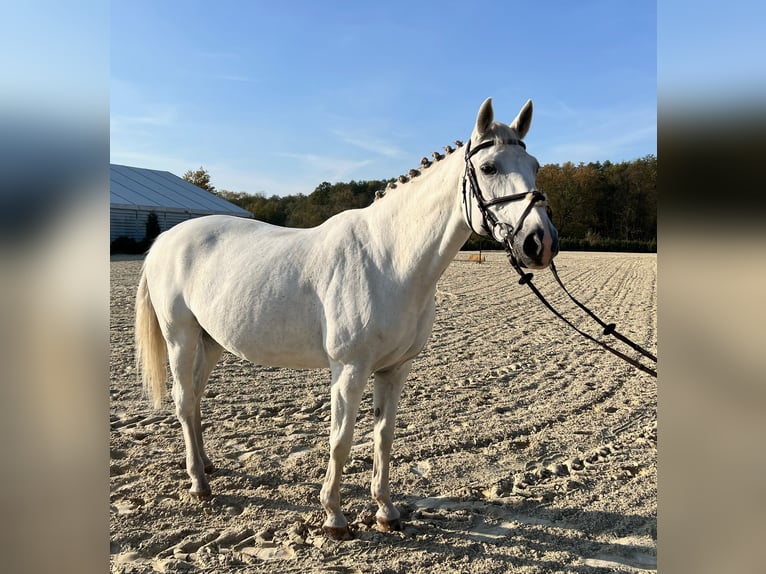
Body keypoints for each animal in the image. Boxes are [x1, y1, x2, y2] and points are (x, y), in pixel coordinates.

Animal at [136, 97, 560, 544]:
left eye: (535, 165)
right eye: (490, 167)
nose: (541, 242)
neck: (388, 258)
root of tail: (167, 239)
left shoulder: (394, 370)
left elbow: (383, 437)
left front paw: (386, 511)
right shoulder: (349, 369)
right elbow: (341, 441)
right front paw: (334, 517)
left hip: (212, 341)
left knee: (197, 399)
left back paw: (207, 465)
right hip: (180, 338)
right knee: (184, 401)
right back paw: (199, 483)